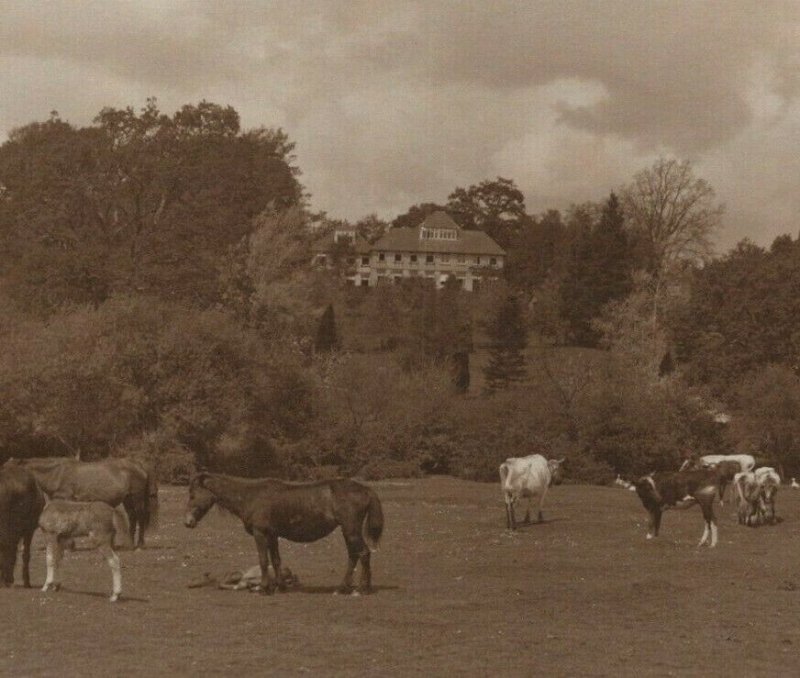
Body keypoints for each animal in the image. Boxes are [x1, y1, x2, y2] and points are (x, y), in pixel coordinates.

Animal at [3, 460, 158, 548]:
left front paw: (69, 544)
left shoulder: (67, 499)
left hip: (136, 497)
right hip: (128, 499)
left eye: (9, 469)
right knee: (133, 517)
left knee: (140, 517)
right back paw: (129, 542)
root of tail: (140, 466)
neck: (57, 474)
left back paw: (139, 544)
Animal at [188, 476, 388, 596]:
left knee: (363, 554)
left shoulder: (260, 534)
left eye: (192, 494)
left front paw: (263, 588)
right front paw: (279, 586)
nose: (187, 522)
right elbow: (276, 561)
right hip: (348, 531)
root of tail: (366, 489)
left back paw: (361, 589)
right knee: (353, 556)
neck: (251, 497)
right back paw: (343, 588)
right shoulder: (272, 535)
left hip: (351, 530)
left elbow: (263, 560)